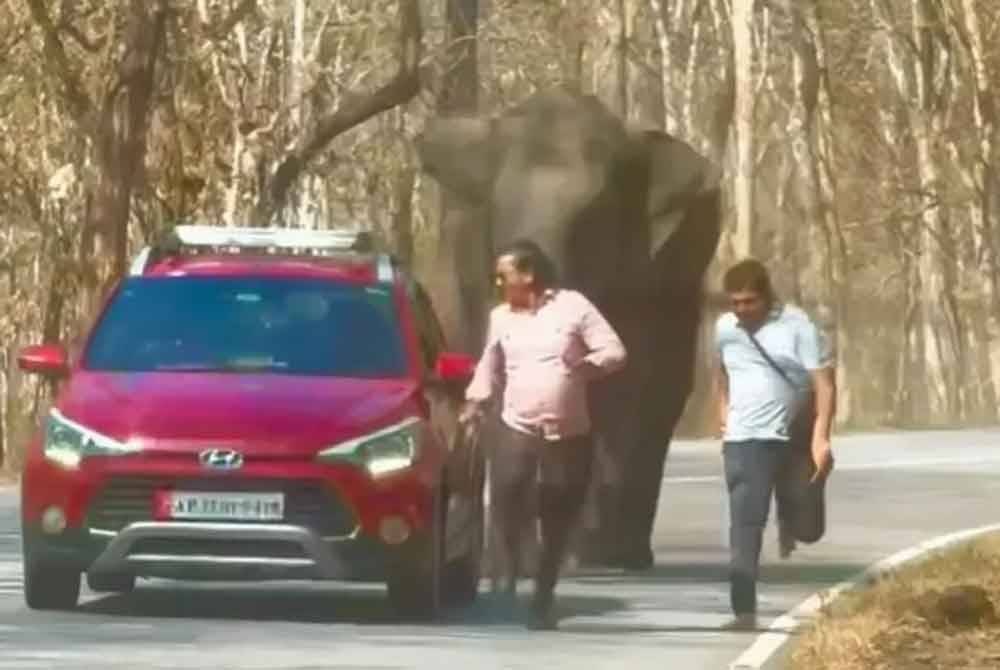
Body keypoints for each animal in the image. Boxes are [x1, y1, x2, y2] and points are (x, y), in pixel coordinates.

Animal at [410, 86, 724, 568]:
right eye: (501, 211)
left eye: (592, 221)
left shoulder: (647, 269)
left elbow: (629, 380)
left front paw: (587, 552)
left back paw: (613, 554)